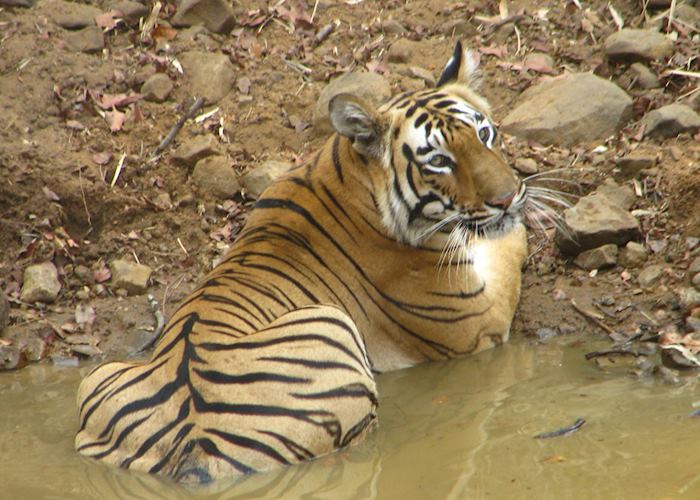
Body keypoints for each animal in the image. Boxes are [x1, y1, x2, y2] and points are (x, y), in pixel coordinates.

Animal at [74, 43, 532, 484]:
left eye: (485, 134)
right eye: (438, 161)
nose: (508, 197)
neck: (345, 171)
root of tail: (194, 446)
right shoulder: (476, 320)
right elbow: (510, 247)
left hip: (96, 378)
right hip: (329, 322)